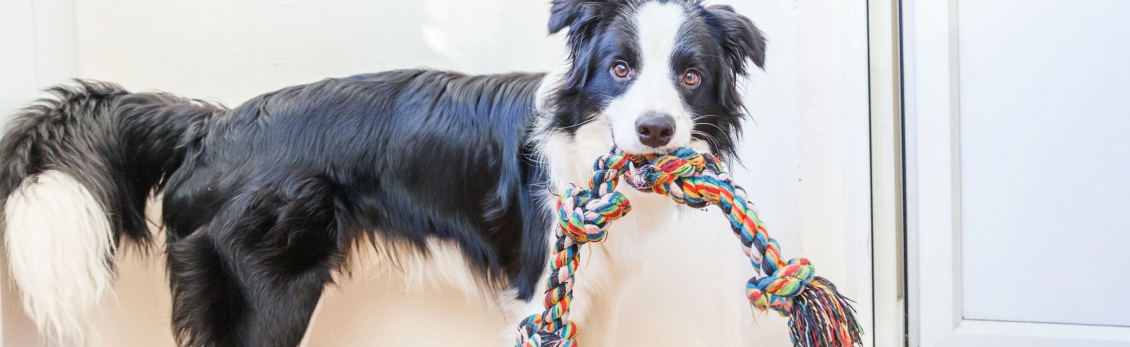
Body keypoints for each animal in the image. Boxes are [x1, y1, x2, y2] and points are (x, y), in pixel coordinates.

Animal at [2, 1, 768, 345]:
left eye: (690, 76)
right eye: (620, 69)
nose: (655, 130)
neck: (578, 140)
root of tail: (213, 124)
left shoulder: (594, 294)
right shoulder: (537, 288)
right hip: (268, 291)